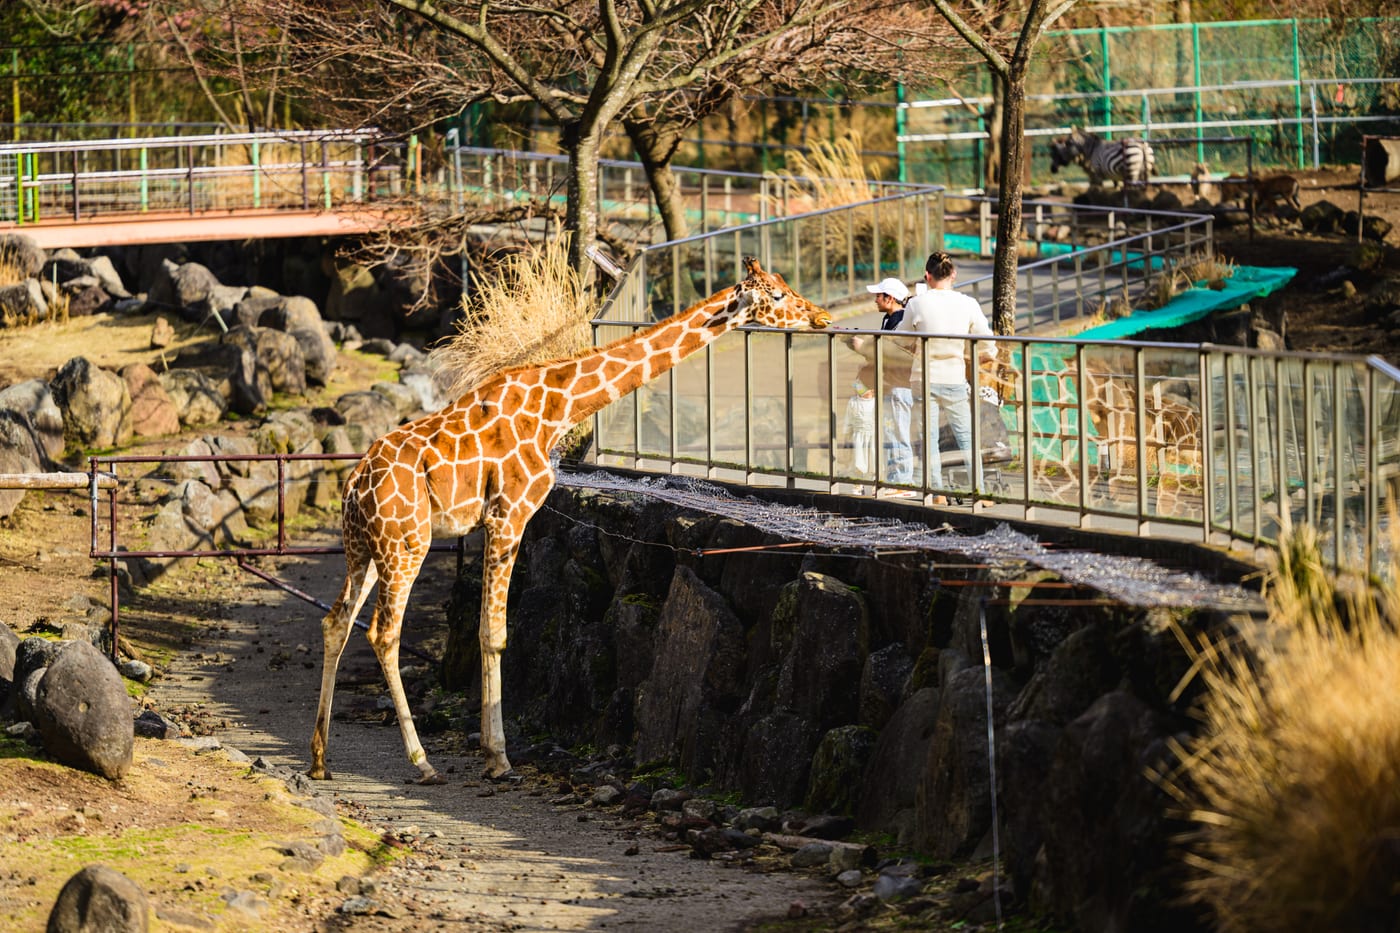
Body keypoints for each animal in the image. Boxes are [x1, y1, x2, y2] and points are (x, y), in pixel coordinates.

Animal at [309, 257, 832, 783]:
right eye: (778, 296)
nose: (822, 316)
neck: (558, 407)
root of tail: (353, 486)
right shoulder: (509, 515)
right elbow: (494, 634)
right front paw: (498, 758)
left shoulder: (497, 522)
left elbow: (486, 630)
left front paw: (492, 752)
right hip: (406, 544)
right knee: (382, 633)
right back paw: (421, 761)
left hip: (364, 549)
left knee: (336, 622)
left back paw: (320, 759)